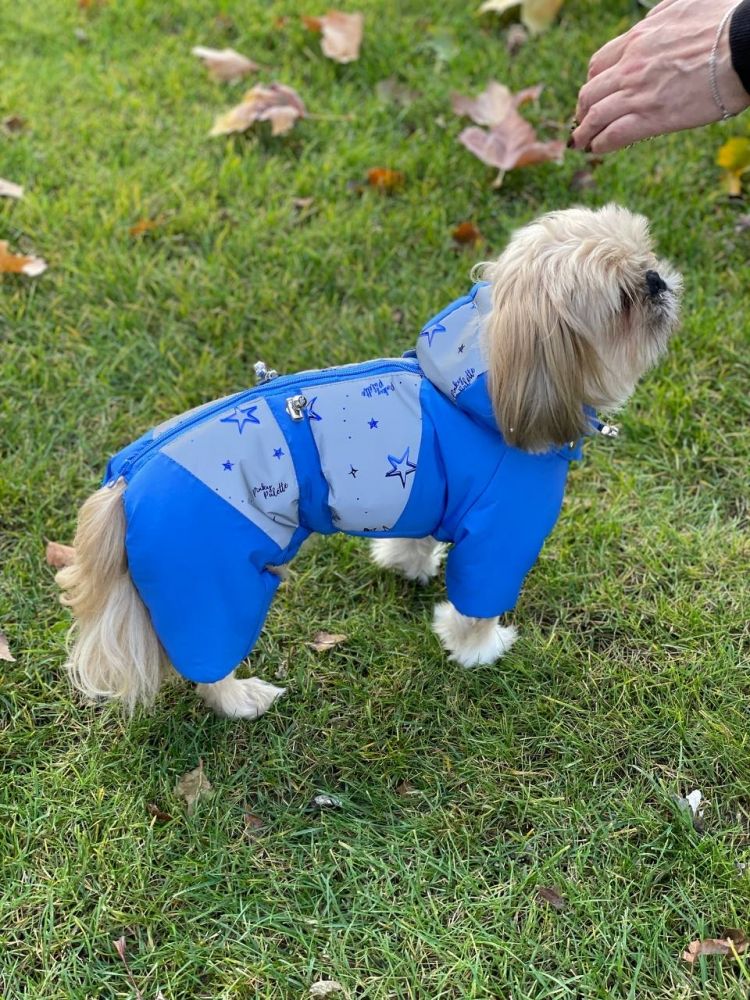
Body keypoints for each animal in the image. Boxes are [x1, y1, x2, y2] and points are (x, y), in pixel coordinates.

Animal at [56, 204, 681, 719]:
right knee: (206, 663)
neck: (489, 384)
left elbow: (416, 535)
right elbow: (477, 604)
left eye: (647, 252)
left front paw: (408, 565)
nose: (657, 281)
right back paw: (242, 700)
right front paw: (480, 650)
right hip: (213, 582)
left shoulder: (431, 495)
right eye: (625, 301)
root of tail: (124, 484)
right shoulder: (503, 534)